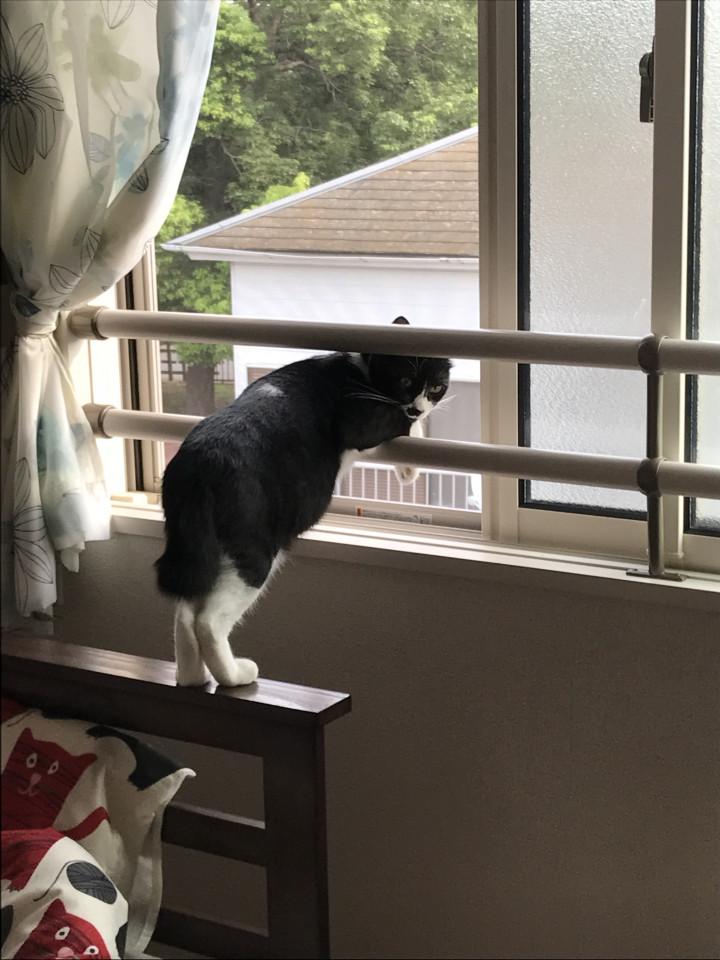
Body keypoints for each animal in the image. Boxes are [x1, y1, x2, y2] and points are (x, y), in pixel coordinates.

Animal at [155, 316, 451, 688]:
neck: (360, 368)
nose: (419, 404)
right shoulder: (360, 418)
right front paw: (412, 454)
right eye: (406, 380)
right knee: (206, 620)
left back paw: (192, 677)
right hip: (253, 549)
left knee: (184, 609)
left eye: (436, 387)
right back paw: (235, 675)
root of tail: (196, 464)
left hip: (201, 546)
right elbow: (399, 421)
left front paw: (409, 463)